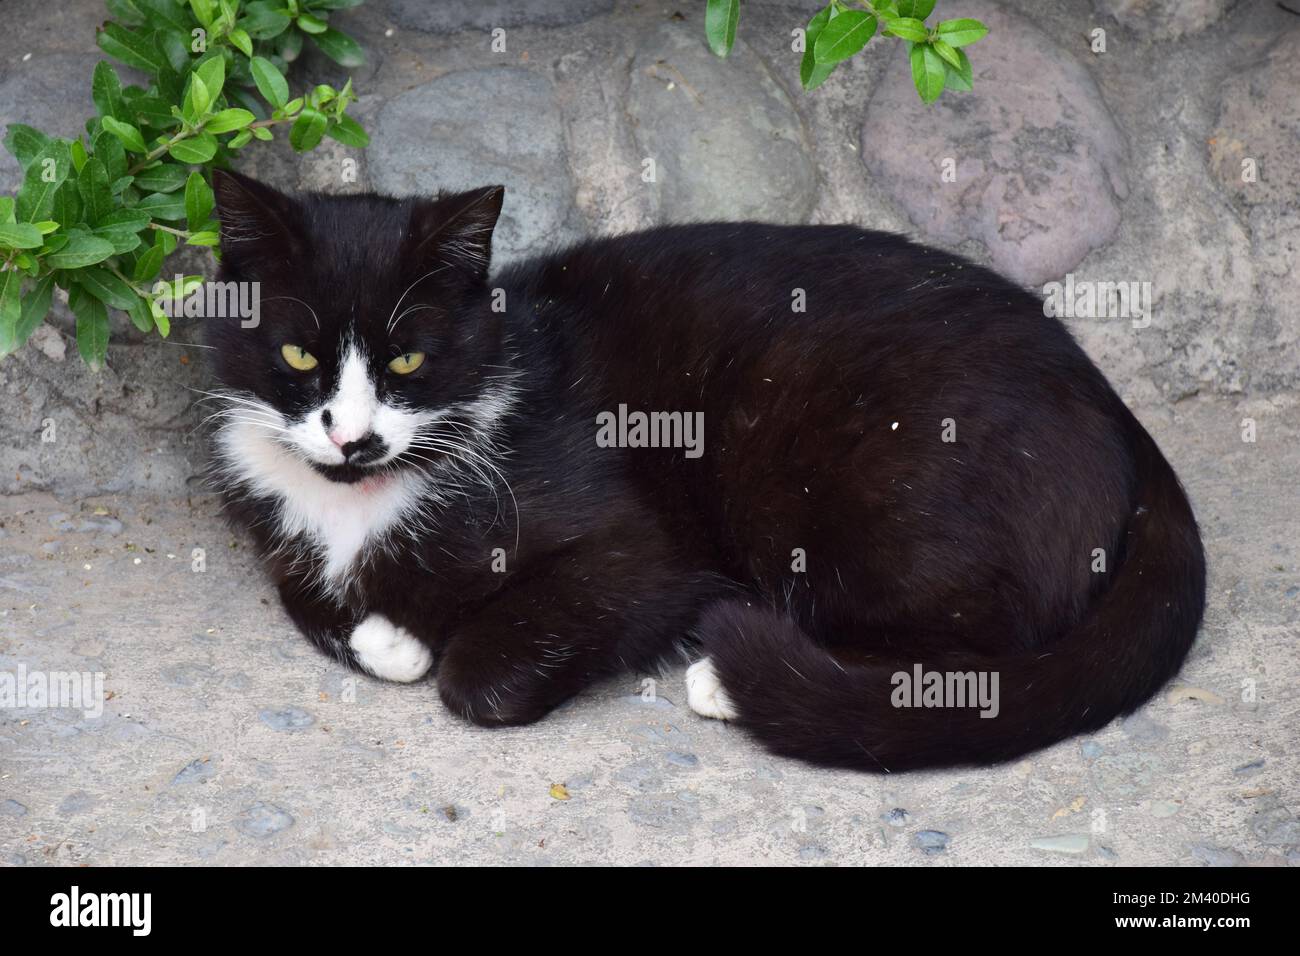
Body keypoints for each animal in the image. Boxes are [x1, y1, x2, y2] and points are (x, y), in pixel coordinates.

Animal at [202, 170, 1206, 770]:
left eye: (408, 360)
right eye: (298, 356)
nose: (349, 439)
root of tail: (1119, 417)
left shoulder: (642, 551)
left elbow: (480, 672)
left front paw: (434, 644)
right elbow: (308, 594)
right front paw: (386, 633)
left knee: (983, 645)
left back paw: (737, 676)